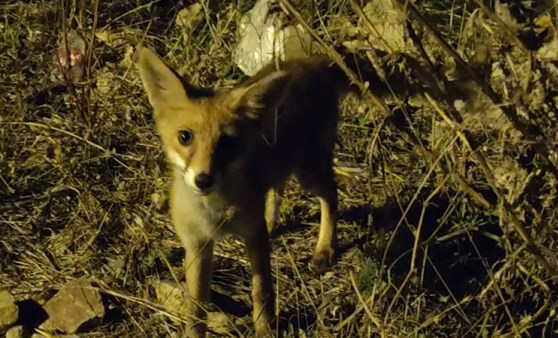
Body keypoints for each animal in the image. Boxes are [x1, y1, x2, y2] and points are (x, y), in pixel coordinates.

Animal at [135, 43, 372, 336]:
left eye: (228, 142)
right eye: (185, 137)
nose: (203, 180)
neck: (216, 215)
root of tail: (310, 62)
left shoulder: (253, 236)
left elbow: (262, 291)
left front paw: (265, 328)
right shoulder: (197, 244)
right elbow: (196, 308)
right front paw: (194, 331)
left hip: (308, 173)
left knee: (331, 195)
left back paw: (325, 248)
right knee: (276, 189)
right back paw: (272, 222)